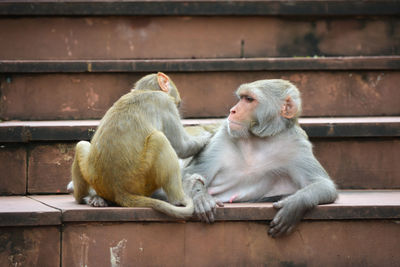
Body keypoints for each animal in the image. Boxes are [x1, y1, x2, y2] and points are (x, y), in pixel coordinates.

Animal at [70, 72, 211, 219]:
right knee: (159, 139)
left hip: (94, 175)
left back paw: (85, 198)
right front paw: (205, 138)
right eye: (177, 105)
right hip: (141, 180)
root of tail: (119, 191)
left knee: (81, 145)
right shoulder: (165, 103)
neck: (145, 91)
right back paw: (179, 198)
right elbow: (181, 147)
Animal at [183, 78, 340, 238]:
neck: (258, 139)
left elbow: (323, 184)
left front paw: (294, 205)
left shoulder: (297, 145)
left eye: (249, 99)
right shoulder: (224, 135)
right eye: (242, 98)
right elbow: (190, 174)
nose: (232, 110)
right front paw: (201, 196)